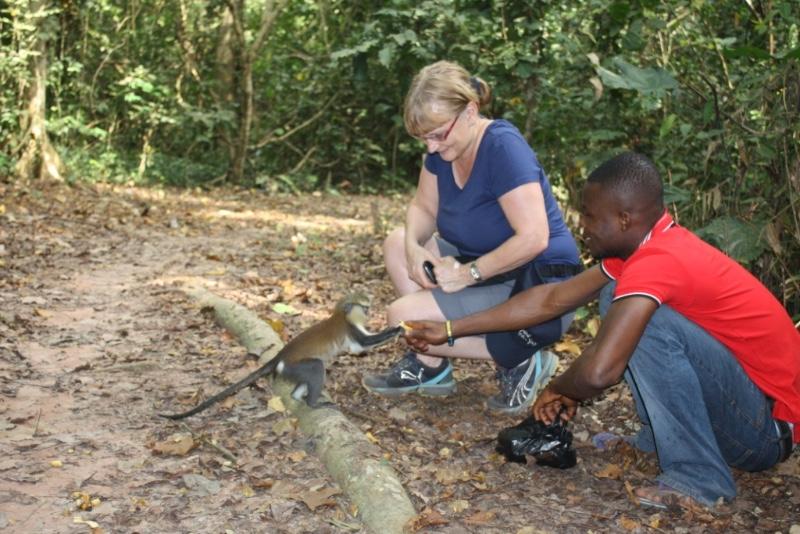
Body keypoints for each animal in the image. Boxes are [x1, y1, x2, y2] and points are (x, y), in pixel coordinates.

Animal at [160, 296, 404, 420]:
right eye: (364, 306)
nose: (369, 311)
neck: (340, 315)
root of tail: (280, 356)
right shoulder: (350, 329)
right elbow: (362, 346)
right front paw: (398, 329)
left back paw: (298, 397)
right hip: (295, 366)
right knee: (316, 367)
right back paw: (312, 403)